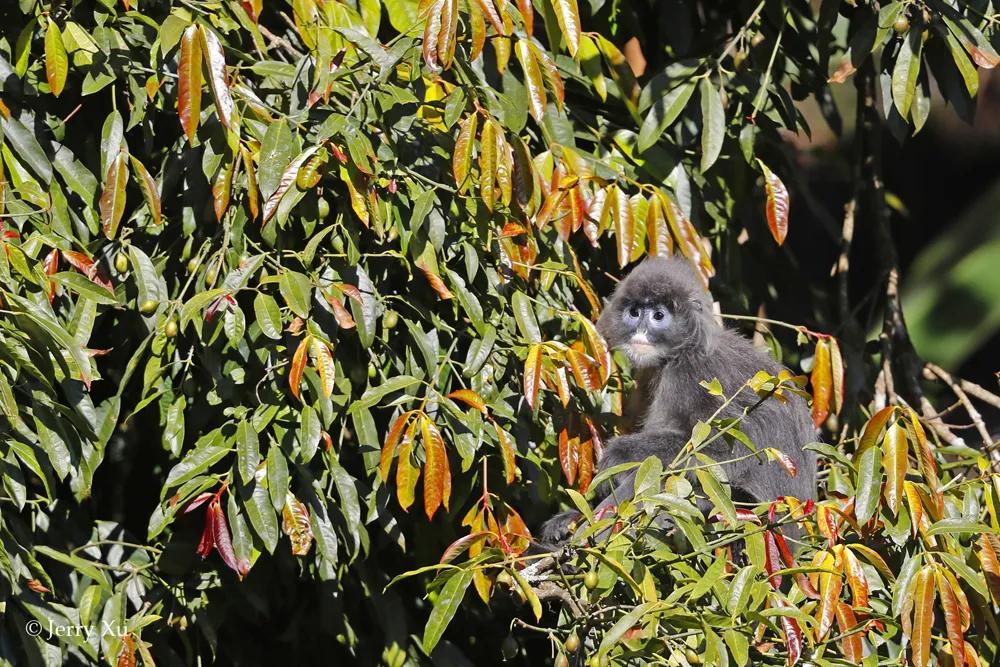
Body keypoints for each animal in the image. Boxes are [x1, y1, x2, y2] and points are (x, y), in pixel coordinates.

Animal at [540, 256, 820, 544]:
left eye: (659, 316)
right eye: (635, 313)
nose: (641, 330)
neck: (683, 350)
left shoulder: (694, 374)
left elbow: (728, 450)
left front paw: (617, 455)